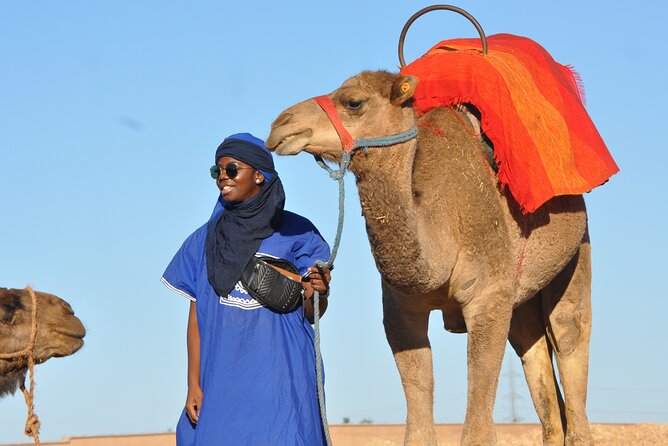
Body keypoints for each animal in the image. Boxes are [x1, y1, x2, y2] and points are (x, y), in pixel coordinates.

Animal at [267, 71, 594, 445]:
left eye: (353, 102)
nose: (281, 124)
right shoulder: (402, 311)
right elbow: (419, 422)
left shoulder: (488, 299)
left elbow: (479, 428)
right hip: (522, 294)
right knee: (533, 352)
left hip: (577, 249)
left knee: (568, 336)